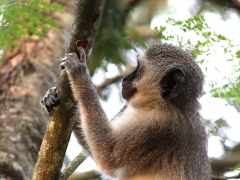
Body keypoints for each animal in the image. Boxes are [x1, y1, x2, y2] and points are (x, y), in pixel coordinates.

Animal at [41, 44, 212, 180]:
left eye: (139, 68)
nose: (125, 78)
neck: (175, 106)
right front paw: (50, 96)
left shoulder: (159, 126)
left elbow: (107, 154)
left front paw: (79, 72)